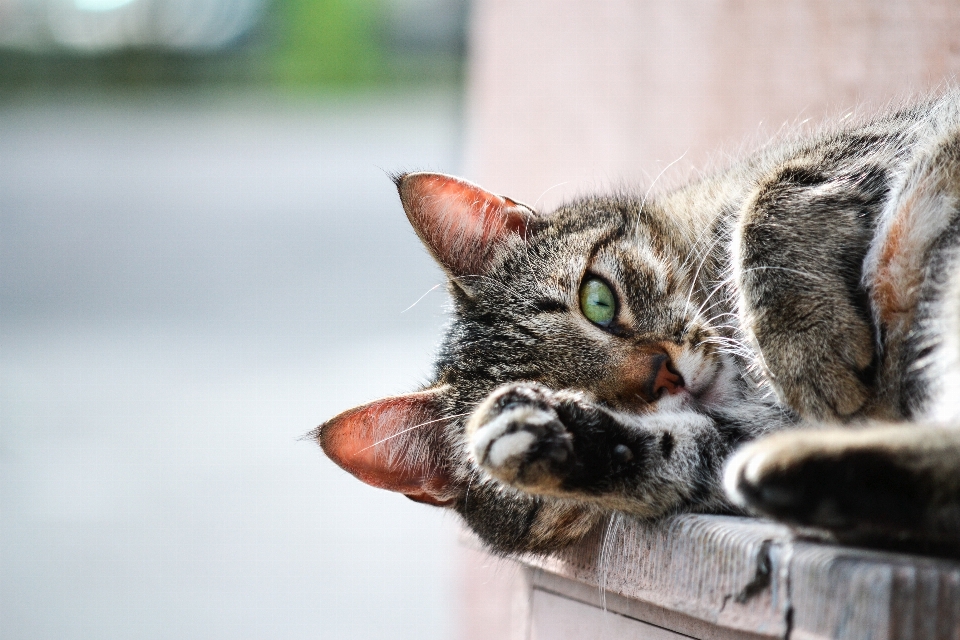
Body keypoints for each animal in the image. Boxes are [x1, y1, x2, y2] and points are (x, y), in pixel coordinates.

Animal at [316, 90, 960, 556]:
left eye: (598, 300)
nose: (664, 377)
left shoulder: (878, 137)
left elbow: (772, 198)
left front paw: (805, 348)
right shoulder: (740, 432)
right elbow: (683, 452)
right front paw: (552, 436)